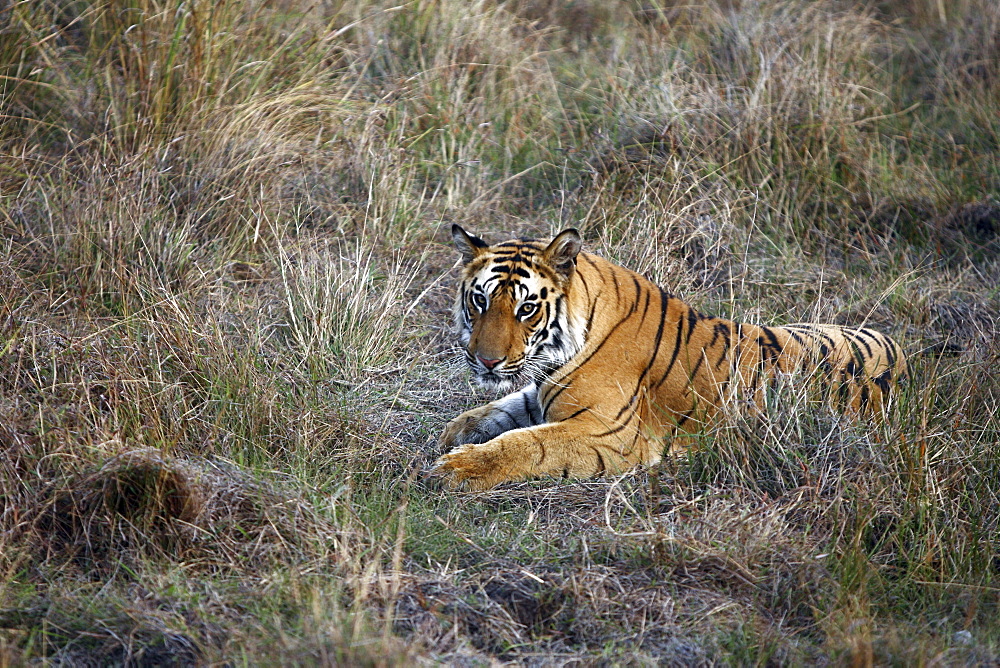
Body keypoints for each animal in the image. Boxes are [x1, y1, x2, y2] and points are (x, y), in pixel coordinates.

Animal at [436, 226, 908, 490]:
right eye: (479, 300)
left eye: (526, 308)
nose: (486, 362)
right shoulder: (546, 391)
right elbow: (508, 407)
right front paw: (458, 430)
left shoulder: (611, 432)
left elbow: (530, 442)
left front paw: (460, 466)